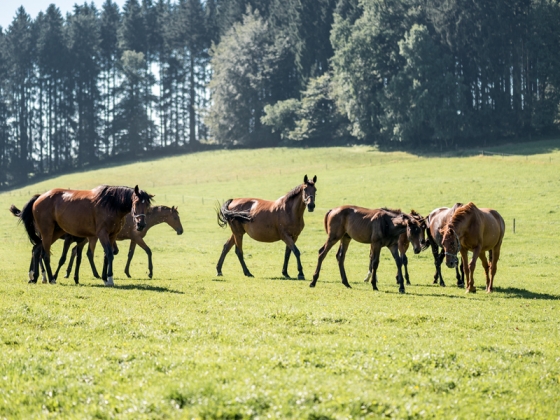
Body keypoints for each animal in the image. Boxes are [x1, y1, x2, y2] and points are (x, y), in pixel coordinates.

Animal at [14, 185, 152, 288]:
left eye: (147, 205)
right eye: (136, 202)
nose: (141, 224)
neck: (111, 204)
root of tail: (39, 197)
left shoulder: (112, 236)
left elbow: (106, 256)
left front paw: (104, 278)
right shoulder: (102, 234)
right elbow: (109, 254)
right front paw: (110, 278)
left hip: (54, 233)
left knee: (36, 250)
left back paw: (34, 277)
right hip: (47, 232)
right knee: (45, 255)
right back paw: (51, 279)